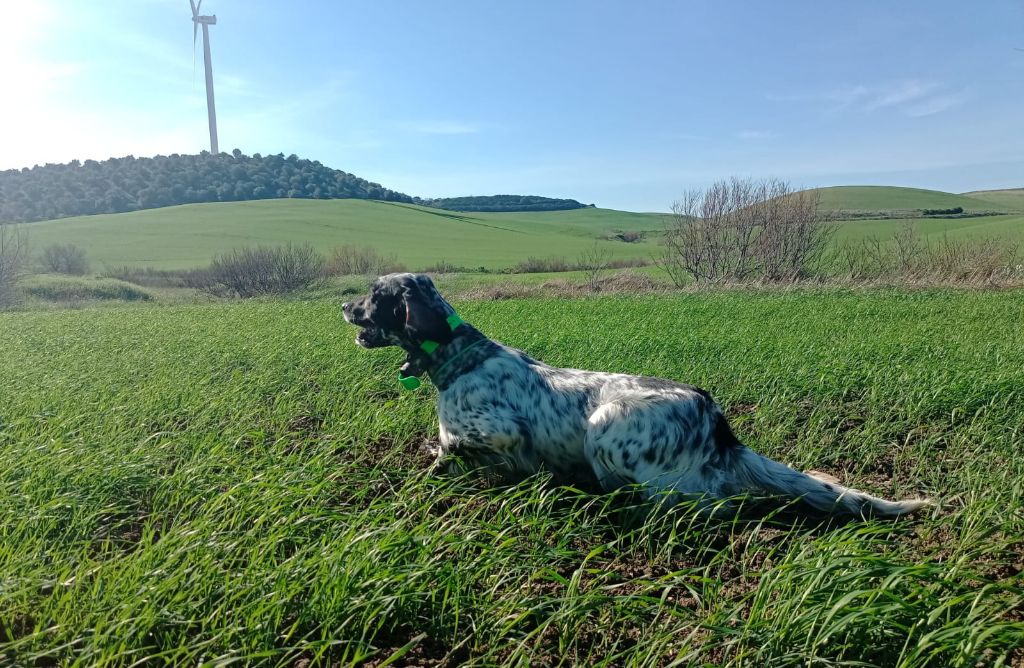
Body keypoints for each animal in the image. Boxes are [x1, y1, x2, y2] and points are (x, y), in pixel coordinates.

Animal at [342, 274, 929, 518]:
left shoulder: (502, 430)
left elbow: (455, 446)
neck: (458, 358)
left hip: (606, 428)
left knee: (712, 503)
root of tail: (715, 419)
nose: (343, 306)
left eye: (373, 295)